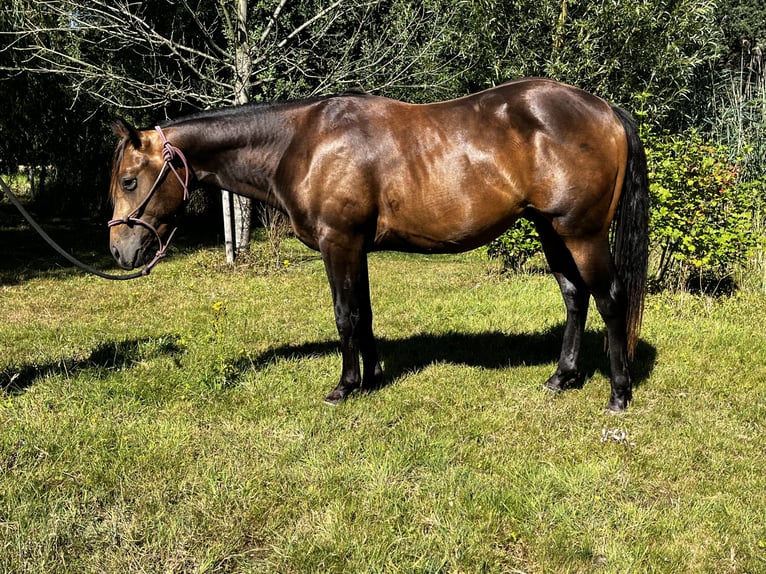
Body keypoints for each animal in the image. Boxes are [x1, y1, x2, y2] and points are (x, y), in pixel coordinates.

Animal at [109, 77, 649, 412]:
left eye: (130, 181)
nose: (118, 251)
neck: (301, 143)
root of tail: (606, 110)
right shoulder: (356, 249)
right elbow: (363, 313)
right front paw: (370, 380)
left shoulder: (339, 243)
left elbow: (346, 315)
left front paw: (344, 387)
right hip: (550, 229)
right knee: (575, 297)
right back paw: (561, 377)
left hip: (581, 233)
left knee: (609, 299)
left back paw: (618, 395)